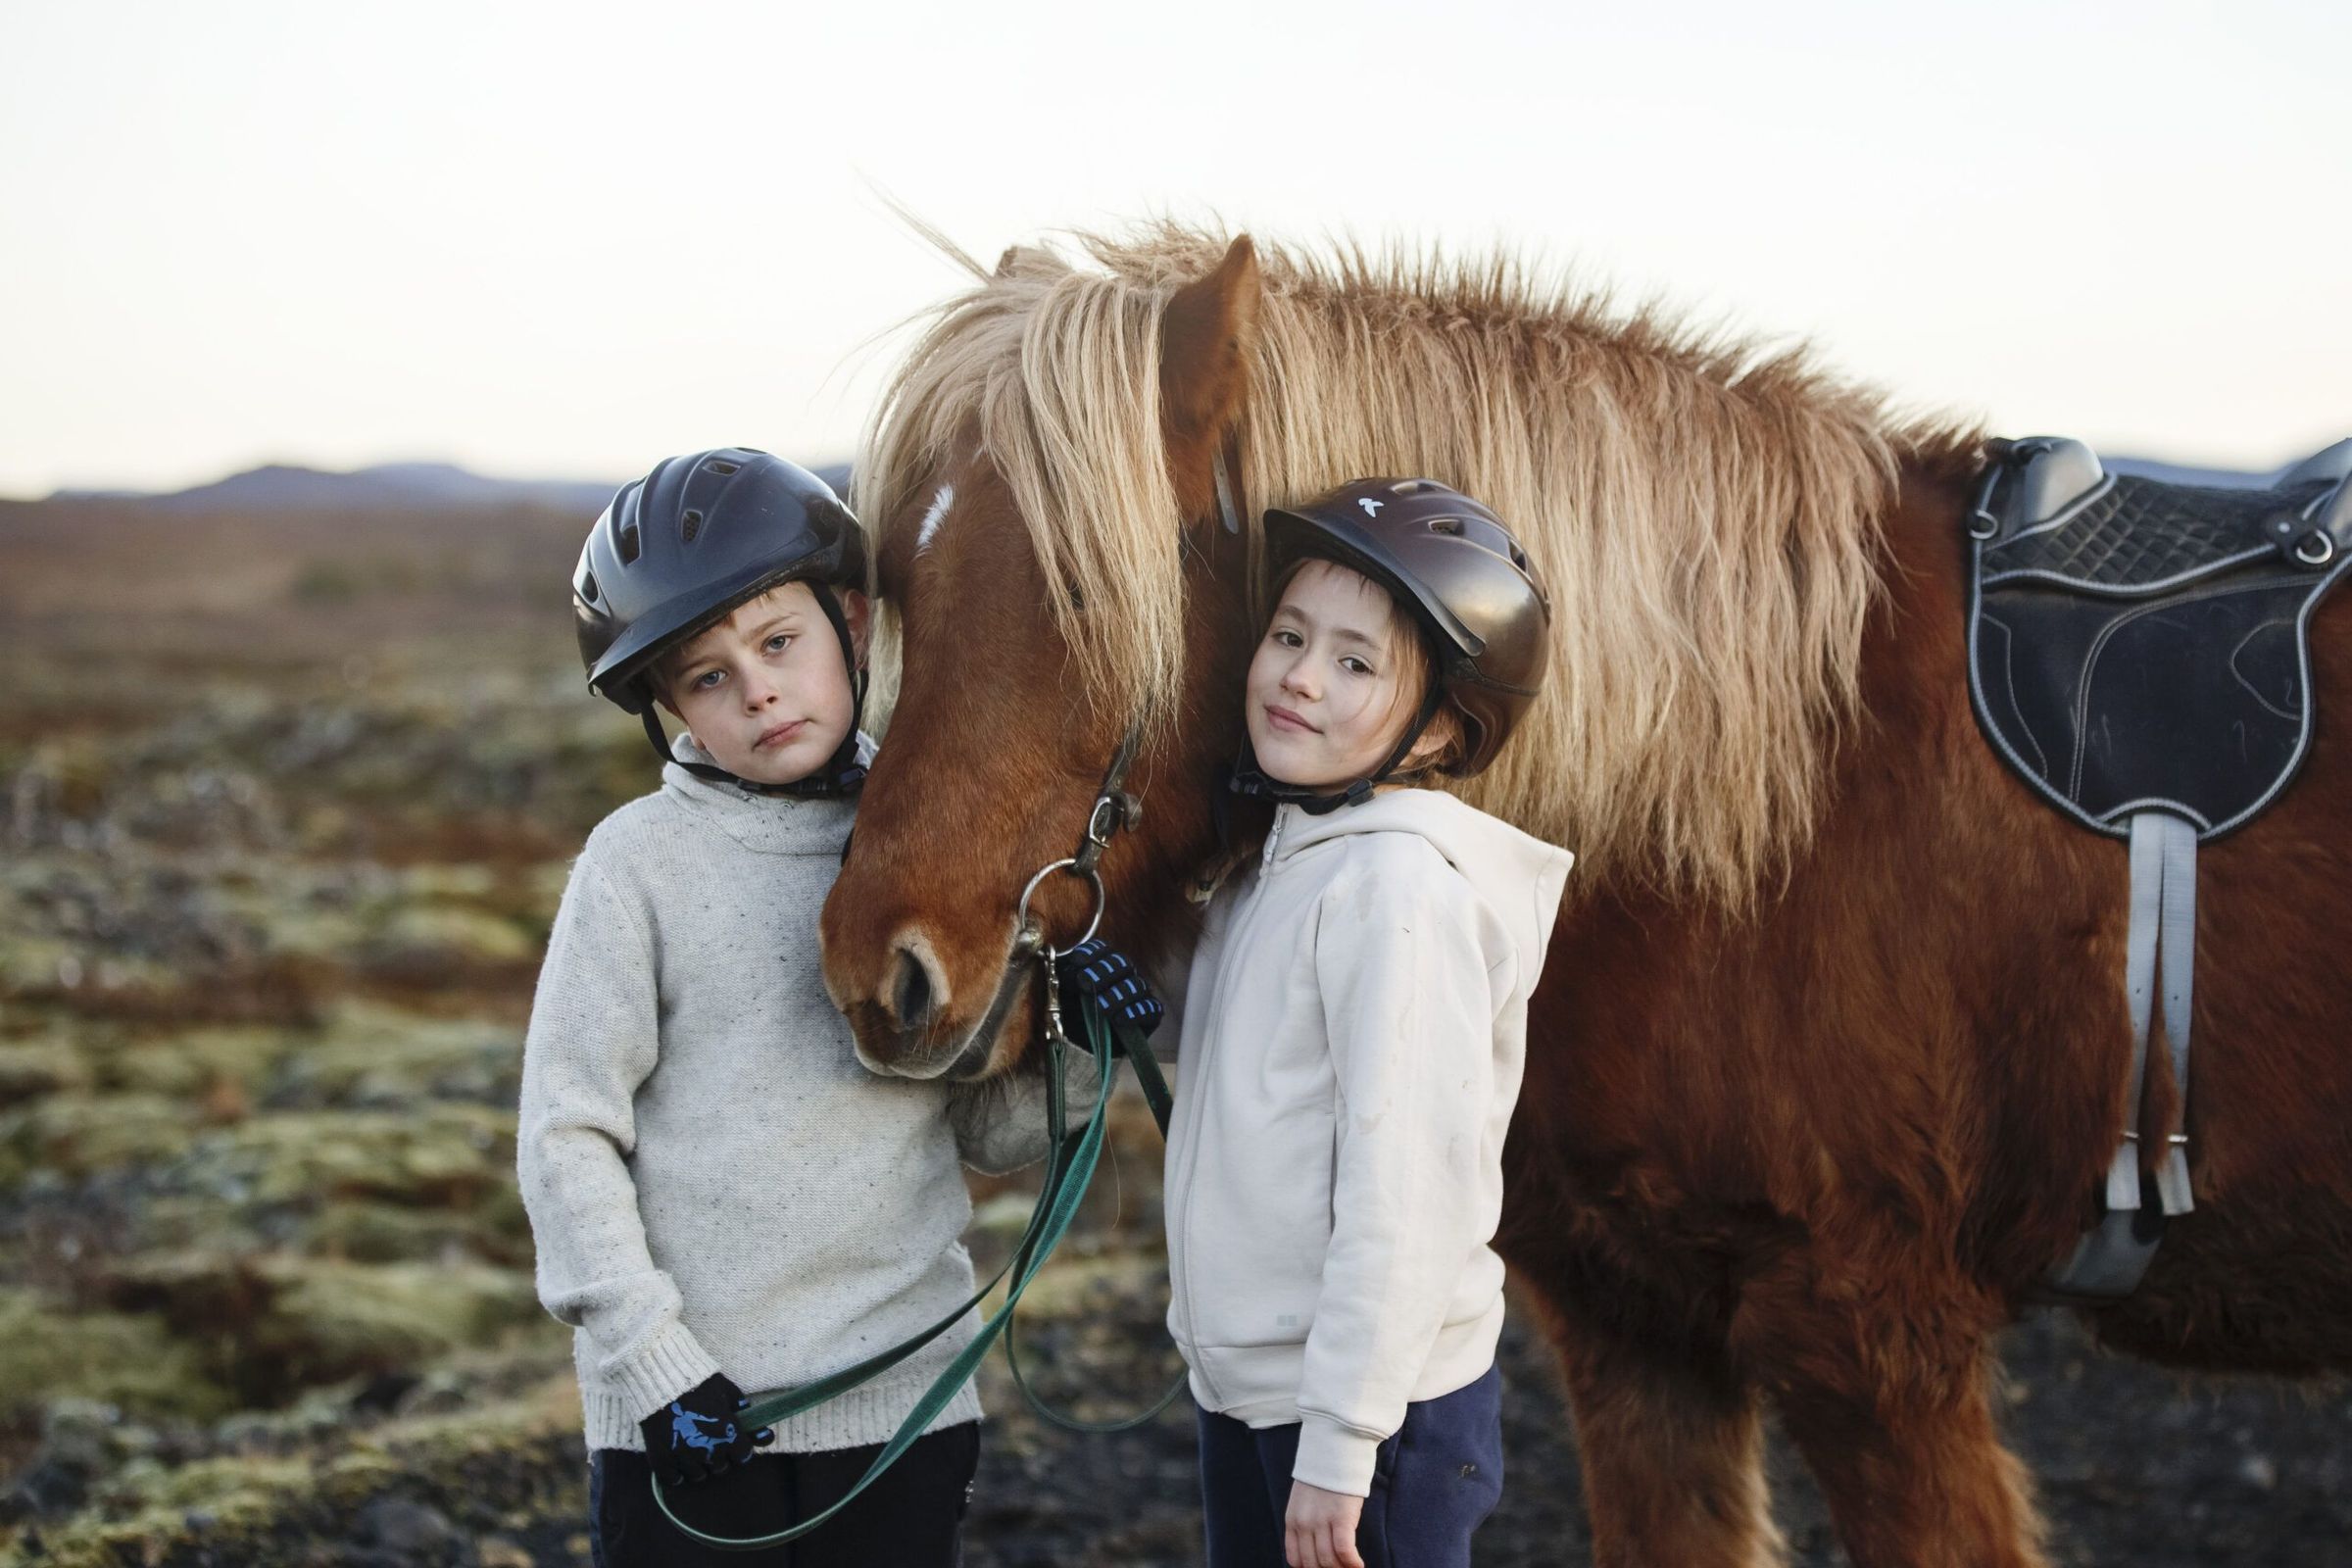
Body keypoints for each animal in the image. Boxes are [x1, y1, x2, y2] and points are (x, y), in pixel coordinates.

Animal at [815, 223, 2352, 1567]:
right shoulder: (1641, 1335)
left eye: (1084, 596)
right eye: (903, 579)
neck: (1774, 798)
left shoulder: (1878, 1346)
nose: (875, 976)